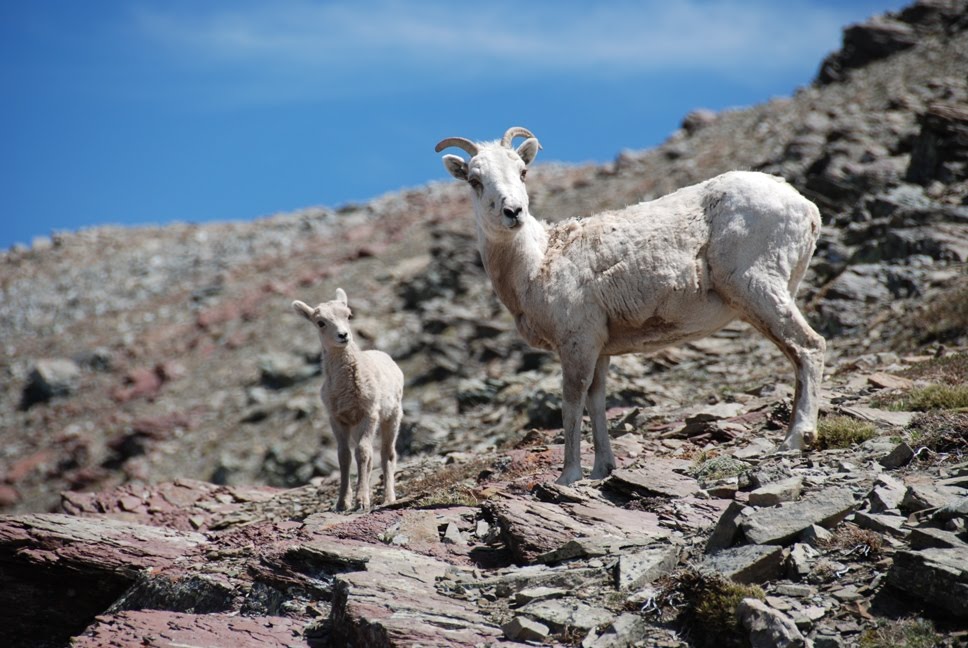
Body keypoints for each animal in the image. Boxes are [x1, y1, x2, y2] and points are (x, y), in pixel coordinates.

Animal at [294, 290, 402, 512]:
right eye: (320, 322)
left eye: (349, 315)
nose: (343, 335)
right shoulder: (338, 419)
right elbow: (344, 456)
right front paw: (342, 503)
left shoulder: (368, 415)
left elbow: (363, 452)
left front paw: (362, 501)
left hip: (392, 417)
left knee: (387, 455)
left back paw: (388, 499)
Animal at [438, 126, 824, 484]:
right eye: (474, 180)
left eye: (522, 172)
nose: (513, 212)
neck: (538, 261)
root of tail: (805, 207)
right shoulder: (601, 348)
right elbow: (596, 400)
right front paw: (601, 469)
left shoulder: (578, 341)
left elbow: (572, 401)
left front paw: (569, 475)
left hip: (758, 287)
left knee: (809, 347)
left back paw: (795, 439)